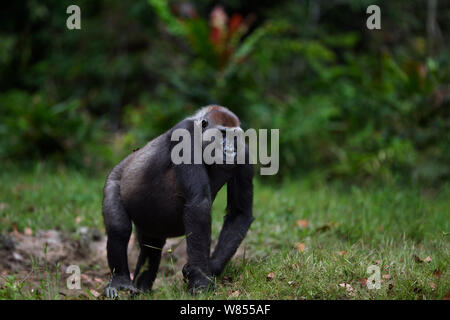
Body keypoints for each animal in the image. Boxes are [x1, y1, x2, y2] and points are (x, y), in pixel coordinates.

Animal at [101, 105, 253, 298]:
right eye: (223, 134)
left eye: (235, 137)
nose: (231, 149)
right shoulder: (185, 134)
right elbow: (198, 205)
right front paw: (201, 281)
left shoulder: (245, 153)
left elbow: (239, 213)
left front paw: (209, 269)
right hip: (114, 179)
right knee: (119, 229)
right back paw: (120, 279)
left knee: (152, 248)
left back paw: (142, 289)